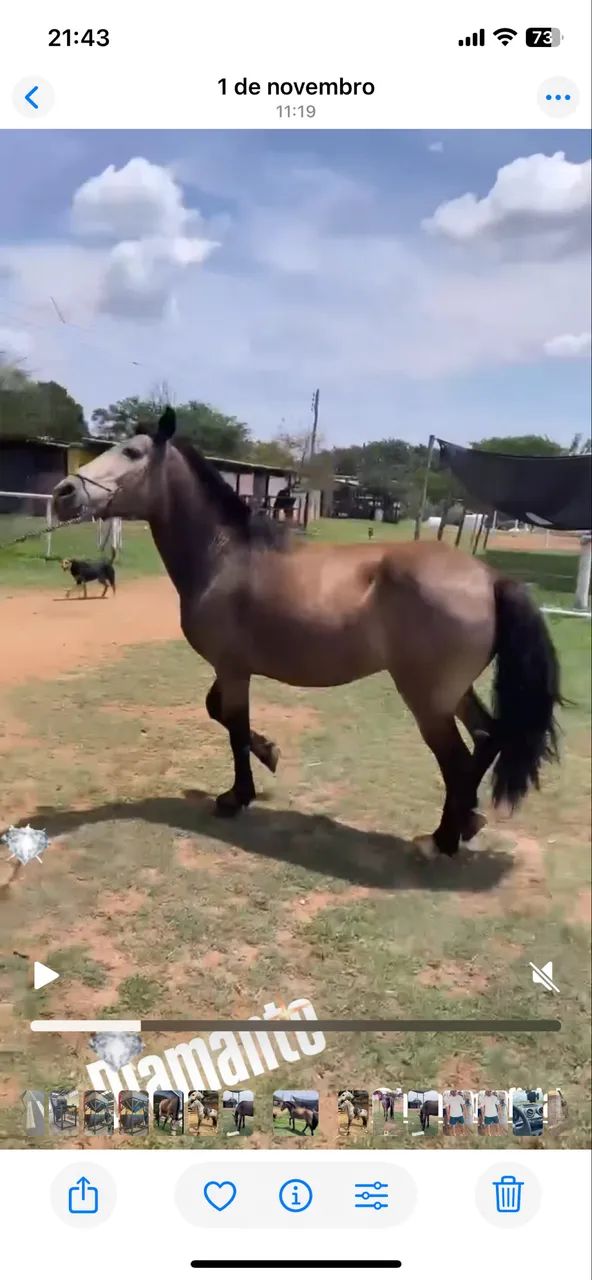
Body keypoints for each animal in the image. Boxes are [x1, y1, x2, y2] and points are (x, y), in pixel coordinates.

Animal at [52, 408, 562, 859]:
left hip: (427, 700)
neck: (227, 554)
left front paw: (237, 796)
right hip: (453, 692)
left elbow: (233, 727)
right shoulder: (232, 668)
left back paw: (442, 841)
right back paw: (468, 821)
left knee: (456, 760)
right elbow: (220, 714)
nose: (63, 491)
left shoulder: (233, 669)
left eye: (133, 452)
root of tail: (490, 578)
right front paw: (270, 753)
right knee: (488, 737)